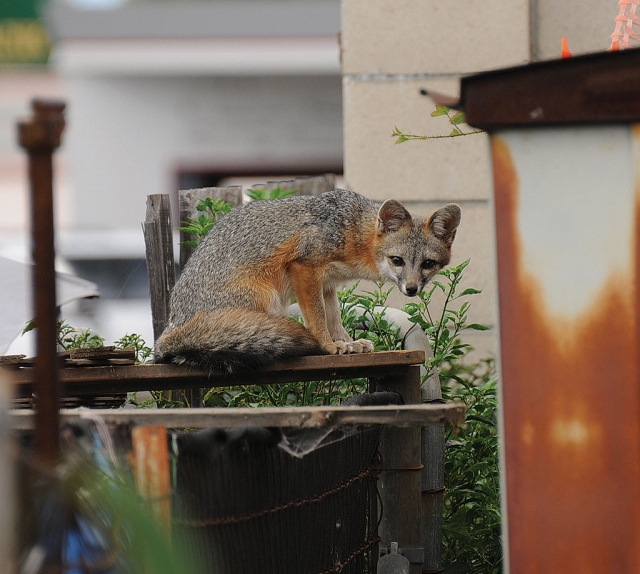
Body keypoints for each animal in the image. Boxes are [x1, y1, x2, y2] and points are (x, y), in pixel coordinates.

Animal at [158, 190, 462, 374]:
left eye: (428, 264)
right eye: (397, 260)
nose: (412, 289)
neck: (353, 231)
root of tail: (172, 327)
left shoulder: (326, 282)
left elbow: (334, 318)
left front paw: (347, 343)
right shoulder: (304, 268)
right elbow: (317, 319)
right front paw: (328, 347)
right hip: (267, 298)